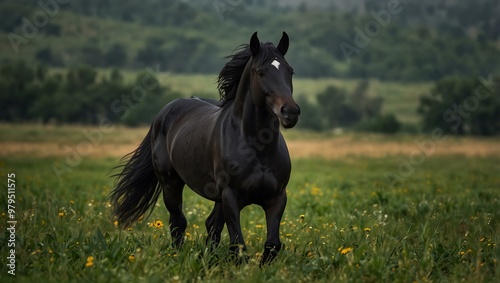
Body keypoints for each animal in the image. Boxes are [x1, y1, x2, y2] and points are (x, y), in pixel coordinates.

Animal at [111, 31, 300, 266]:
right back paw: (178, 257)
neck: (257, 150)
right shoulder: (230, 196)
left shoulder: (277, 197)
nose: (290, 112)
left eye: (290, 71)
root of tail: (164, 113)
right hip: (171, 184)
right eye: (261, 72)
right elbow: (238, 244)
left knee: (211, 225)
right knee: (178, 222)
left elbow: (272, 244)